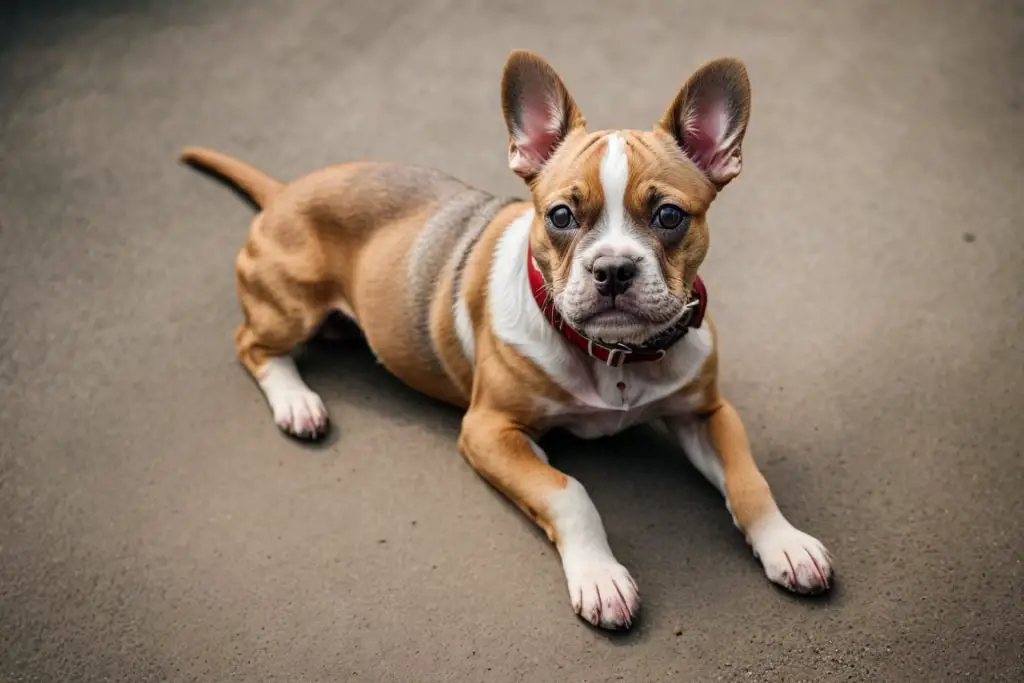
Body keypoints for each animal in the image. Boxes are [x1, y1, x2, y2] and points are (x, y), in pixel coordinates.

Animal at [184, 50, 831, 634]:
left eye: (670, 216)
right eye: (561, 216)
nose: (613, 269)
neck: (614, 356)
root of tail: (284, 191)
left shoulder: (708, 412)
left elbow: (750, 480)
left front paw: (786, 543)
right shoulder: (490, 431)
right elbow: (570, 493)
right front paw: (600, 577)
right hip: (289, 307)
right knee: (252, 344)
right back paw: (297, 402)